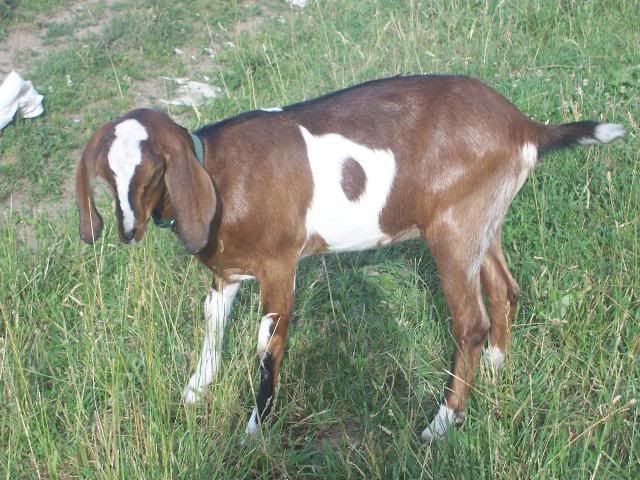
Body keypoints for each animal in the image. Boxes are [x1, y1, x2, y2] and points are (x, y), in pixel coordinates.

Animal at [76, 75, 625, 441]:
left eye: (153, 171)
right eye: (105, 173)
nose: (127, 230)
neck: (219, 175)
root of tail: (524, 127)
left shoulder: (280, 266)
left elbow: (267, 345)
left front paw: (255, 429)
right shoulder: (228, 271)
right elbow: (213, 321)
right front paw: (194, 391)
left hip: (452, 228)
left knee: (470, 323)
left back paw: (440, 424)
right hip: (481, 222)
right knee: (504, 290)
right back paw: (495, 365)